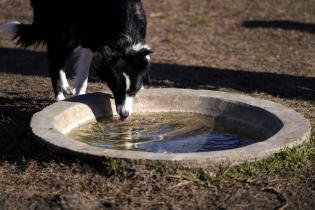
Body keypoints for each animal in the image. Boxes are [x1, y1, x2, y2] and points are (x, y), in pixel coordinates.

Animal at [0, 0, 154, 119]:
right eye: (116, 88)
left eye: (133, 91)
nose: (124, 115)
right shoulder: (89, 42)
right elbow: (83, 76)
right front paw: (80, 95)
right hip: (63, 32)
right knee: (54, 61)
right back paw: (59, 96)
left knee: (60, 61)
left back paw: (65, 86)